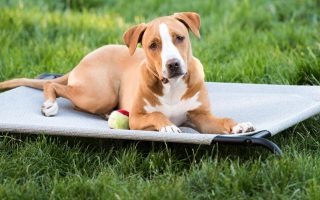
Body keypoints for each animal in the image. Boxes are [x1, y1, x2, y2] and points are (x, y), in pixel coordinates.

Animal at [0, 12, 255, 134]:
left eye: (180, 38)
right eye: (153, 45)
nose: (173, 64)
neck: (171, 85)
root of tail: (83, 59)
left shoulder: (200, 116)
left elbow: (221, 120)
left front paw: (238, 126)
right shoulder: (138, 118)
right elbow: (156, 115)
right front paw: (167, 126)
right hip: (99, 94)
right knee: (54, 86)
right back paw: (50, 105)